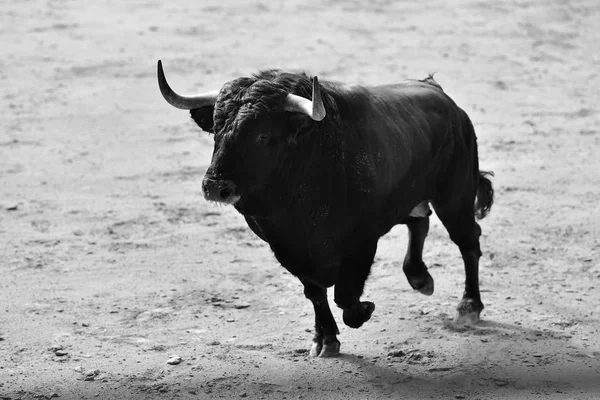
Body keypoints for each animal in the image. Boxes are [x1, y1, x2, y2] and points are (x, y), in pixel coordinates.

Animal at [157, 61, 494, 358]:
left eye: (263, 135)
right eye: (215, 130)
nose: (215, 186)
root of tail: (440, 94)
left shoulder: (361, 242)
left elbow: (345, 294)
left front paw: (363, 311)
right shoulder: (284, 248)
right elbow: (315, 292)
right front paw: (326, 339)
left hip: (455, 196)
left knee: (467, 241)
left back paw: (468, 307)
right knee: (419, 222)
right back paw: (420, 278)